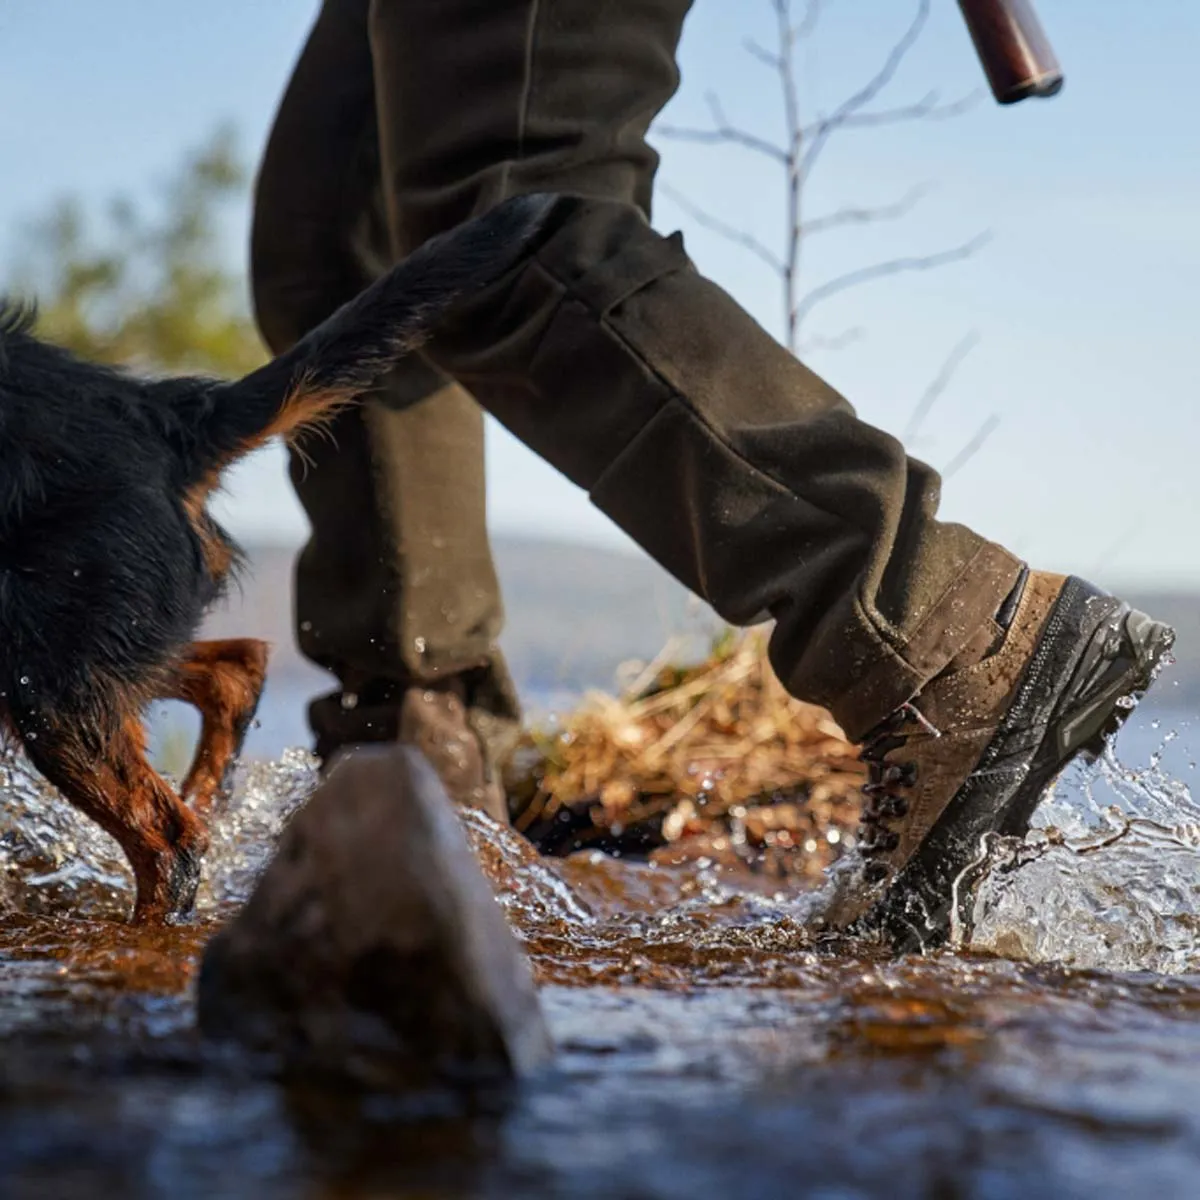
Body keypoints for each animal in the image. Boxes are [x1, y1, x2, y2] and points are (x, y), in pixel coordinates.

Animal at [0, 189, 549, 916]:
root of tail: (169, 422)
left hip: (54, 677)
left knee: (171, 842)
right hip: (85, 647)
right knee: (237, 669)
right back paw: (207, 803)